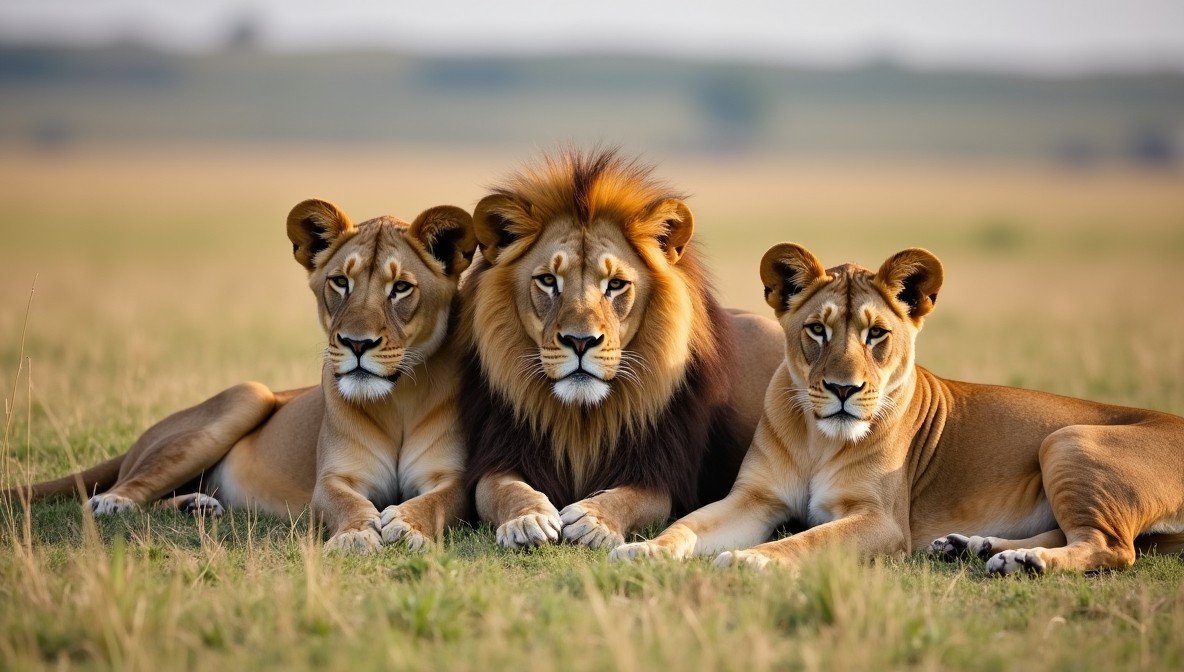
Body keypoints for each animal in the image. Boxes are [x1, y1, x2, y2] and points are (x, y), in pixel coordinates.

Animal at [2, 198, 477, 553]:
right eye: (341, 282)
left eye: (401, 288)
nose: (356, 343)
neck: (397, 399)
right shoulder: (333, 479)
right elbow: (345, 503)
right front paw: (357, 535)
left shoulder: (452, 477)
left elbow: (439, 500)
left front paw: (408, 525)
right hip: (248, 396)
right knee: (128, 488)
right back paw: (115, 503)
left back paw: (196, 507)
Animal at [460, 149, 785, 550]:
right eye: (549, 280)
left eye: (615, 284)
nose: (580, 341)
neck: (581, 420)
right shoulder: (498, 453)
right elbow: (501, 489)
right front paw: (527, 519)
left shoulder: (659, 472)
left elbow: (630, 498)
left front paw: (593, 520)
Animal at [612, 243, 1184, 575]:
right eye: (816, 330)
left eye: (877, 334)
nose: (843, 389)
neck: (820, 438)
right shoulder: (755, 499)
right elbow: (688, 526)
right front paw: (645, 549)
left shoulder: (882, 521)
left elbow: (809, 539)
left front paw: (752, 559)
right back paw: (982, 550)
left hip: (1066, 439)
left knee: (1111, 546)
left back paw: (1027, 560)